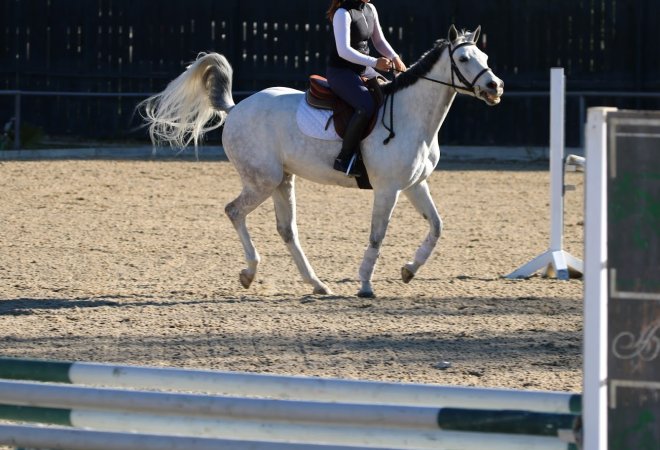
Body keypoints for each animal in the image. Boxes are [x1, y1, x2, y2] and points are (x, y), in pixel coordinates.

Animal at [140, 25, 504, 298]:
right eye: (464, 58)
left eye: (485, 56)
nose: (495, 86)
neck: (411, 115)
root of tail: (236, 108)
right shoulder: (388, 189)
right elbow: (377, 236)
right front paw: (366, 284)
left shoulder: (414, 185)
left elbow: (437, 226)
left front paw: (408, 271)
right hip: (262, 181)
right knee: (234, 212)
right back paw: (250, 273)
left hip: (283, 180)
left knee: (287, 230)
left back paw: (316, 284)